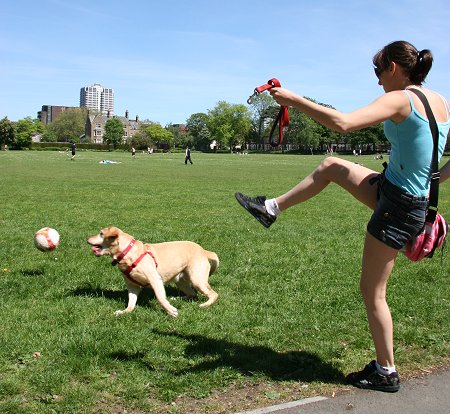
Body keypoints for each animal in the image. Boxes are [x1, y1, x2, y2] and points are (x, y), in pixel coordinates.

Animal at [86, 226, 220, 316]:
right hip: (180, 281)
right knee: (193, 294)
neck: (128, 253)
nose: (87, 238)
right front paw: (124, 312)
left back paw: (204, 305)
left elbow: (160, 298)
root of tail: (203, 250)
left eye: (101, 233)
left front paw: (171, 311)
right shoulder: (132, 285)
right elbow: (131, 303)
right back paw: (176, 298)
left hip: (197, 279)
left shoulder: (155, 279)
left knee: (213, 294)